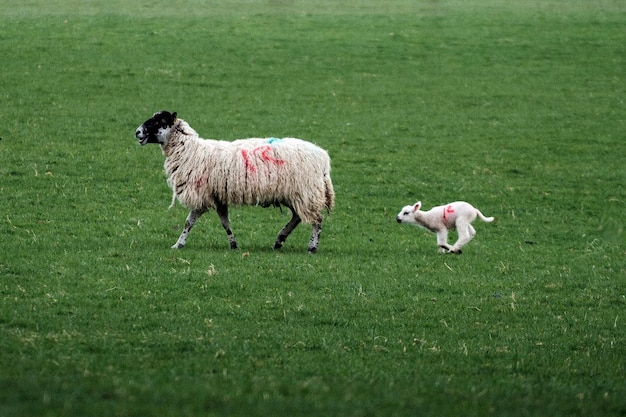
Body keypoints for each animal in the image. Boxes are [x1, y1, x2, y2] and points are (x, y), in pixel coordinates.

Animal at [135, 110, 334, 252]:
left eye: (159, 121)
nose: (137, 132)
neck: (190, 151)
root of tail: (323, 157)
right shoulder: (218, 197)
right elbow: (221, 222)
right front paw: (233, 244)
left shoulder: (202, 195)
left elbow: (189, 222)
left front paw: (178, 244)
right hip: (295, 193)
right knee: (298, 217)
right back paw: (279, 240)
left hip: (305, 191)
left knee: (316, 220)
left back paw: (312, 247)